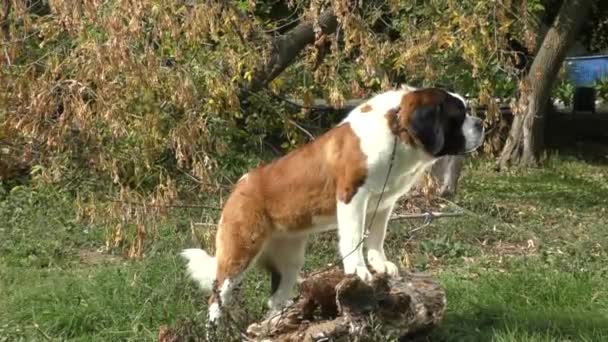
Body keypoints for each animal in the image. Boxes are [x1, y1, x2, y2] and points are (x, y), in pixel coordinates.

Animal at [180, 85, 484, 324]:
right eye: (458, 116)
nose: (481, 123)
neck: (397, 129)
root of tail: (240, 185)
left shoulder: (383, 203)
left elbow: (376, 238)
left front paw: (380, 265)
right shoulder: (352, 197)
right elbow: (353, 239)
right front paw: (359, 271)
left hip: (290, 260)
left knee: (276, 298)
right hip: (241, 250)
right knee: (217, 295)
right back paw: (216, 328)